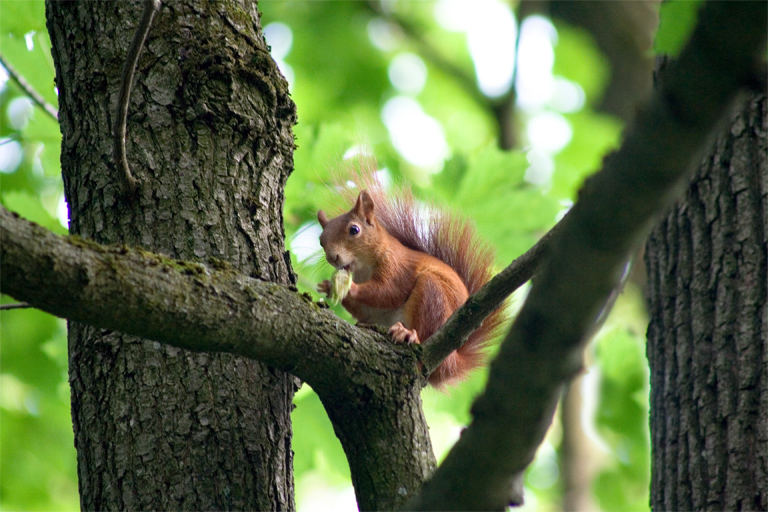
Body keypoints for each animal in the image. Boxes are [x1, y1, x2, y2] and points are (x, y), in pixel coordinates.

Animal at [316, 182, 504, 386]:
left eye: (354, 230)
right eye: (321, 240)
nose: (332, 257)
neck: (362, 269)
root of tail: (453, 360)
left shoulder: (397, 267)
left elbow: (388, 292)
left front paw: (350, 288)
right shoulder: (368, 308)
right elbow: (364, 310)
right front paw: (329, 287)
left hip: (432, 295)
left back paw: (408, 335)